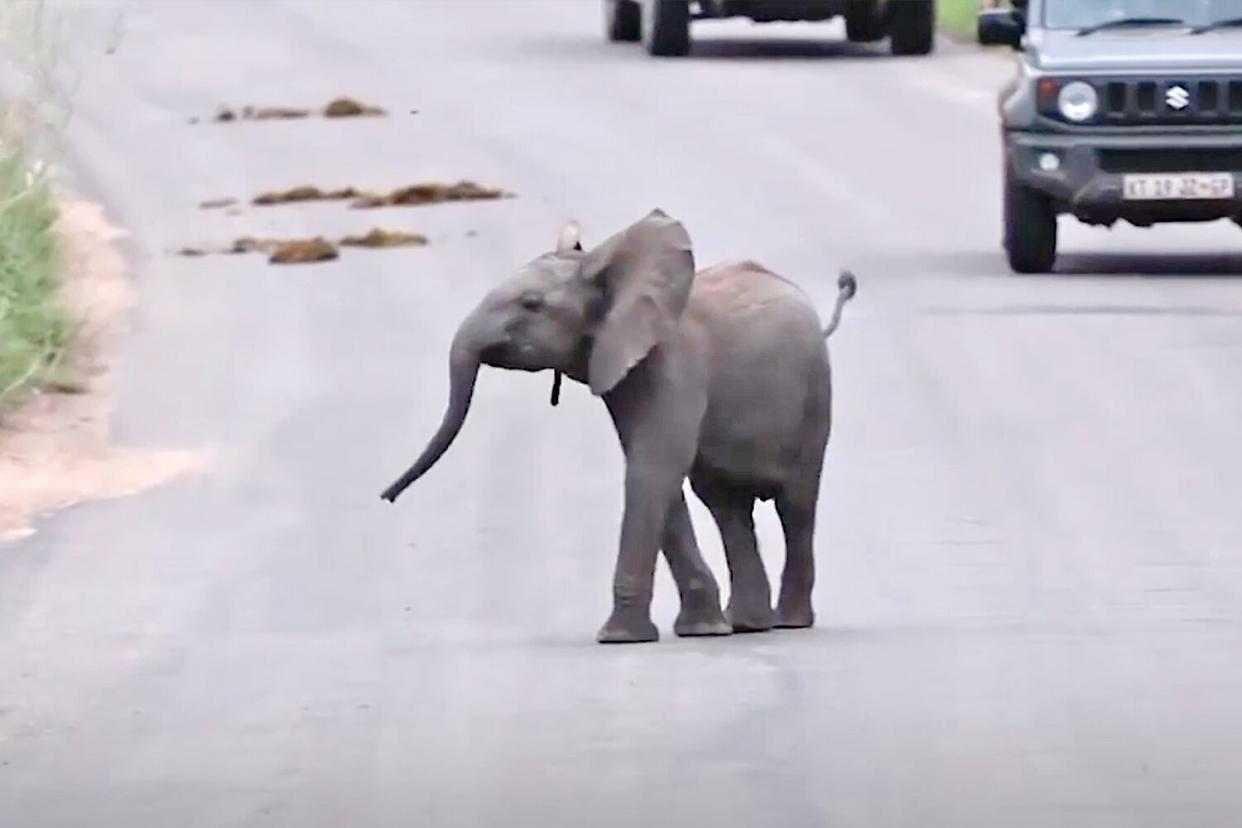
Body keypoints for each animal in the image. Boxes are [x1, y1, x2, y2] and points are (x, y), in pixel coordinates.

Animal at [382, 211, 859, 645]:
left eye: (532, 304)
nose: (387, 497)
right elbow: (655, 474)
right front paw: (699, 630)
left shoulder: (673, 366)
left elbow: (653, 469)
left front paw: (619, 638)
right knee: (726, 506)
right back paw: (745, 625)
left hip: (815, 396)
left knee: (796, 505)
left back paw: (790, 622)